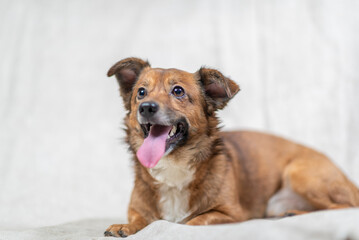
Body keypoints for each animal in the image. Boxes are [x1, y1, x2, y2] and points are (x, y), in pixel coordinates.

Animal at [104, 57, 359, 237]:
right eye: (141, 92)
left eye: (178, 91)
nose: (146, 107)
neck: (174, 167)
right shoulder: (137, 210)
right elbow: (139, 219)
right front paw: (125, 226)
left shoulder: (231, 213)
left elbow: (192, 220)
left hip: (300, 173)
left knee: (345, 206)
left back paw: (296, 213)